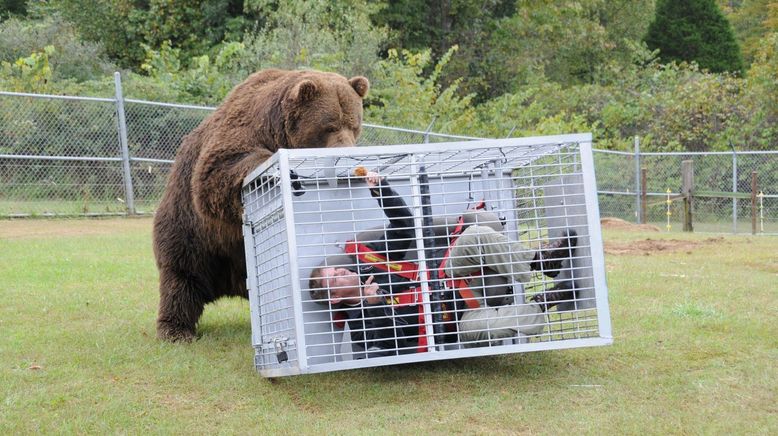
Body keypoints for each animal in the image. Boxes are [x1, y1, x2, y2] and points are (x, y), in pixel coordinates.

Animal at [154, 69, 370, 340]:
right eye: (329, 126)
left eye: (355, 125)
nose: (346, 155)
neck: (278, 131)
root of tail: (232, 283)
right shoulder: (243, 130)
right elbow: (218, 172)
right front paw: (279, 171)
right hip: (191, 232)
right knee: (182, 278)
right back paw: (176, 330)